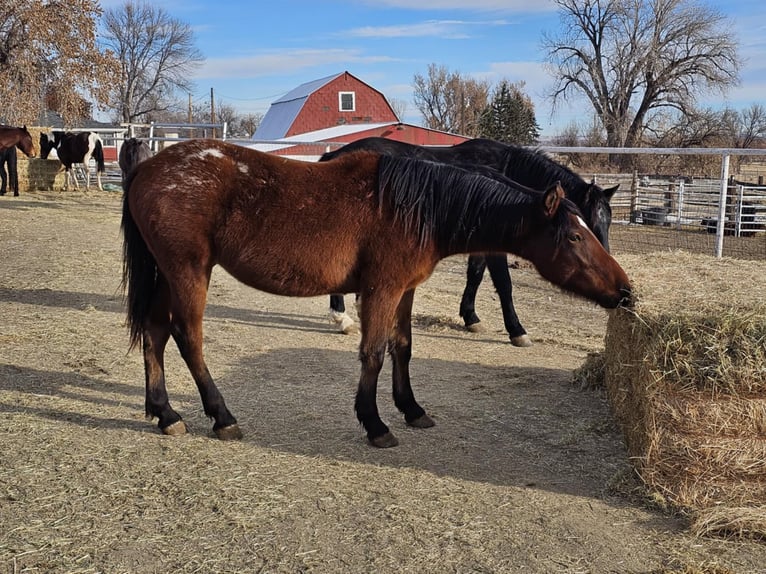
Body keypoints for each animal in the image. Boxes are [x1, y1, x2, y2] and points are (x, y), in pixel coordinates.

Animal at [320, 138, 620, 346]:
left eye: (607, 221)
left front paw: (470, 317)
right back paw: (341, 318)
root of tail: (332, 155)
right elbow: (504, 284)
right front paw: (517, 331)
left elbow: (474, 275)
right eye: (583, 227)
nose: (605, 261)